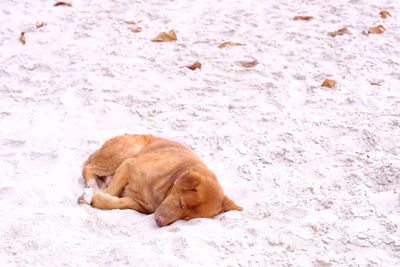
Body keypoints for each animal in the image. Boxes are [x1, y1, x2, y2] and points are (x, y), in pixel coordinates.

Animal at [77, 135, 241, 227]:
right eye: (181, 203)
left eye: (185, 218)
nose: (160, 223)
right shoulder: (128, 166)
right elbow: (111, 191)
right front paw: (93, 196)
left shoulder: (140, 204)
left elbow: (117, 202)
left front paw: (100, 199)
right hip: (123, 153)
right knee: (88, 167)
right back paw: (92, 187)